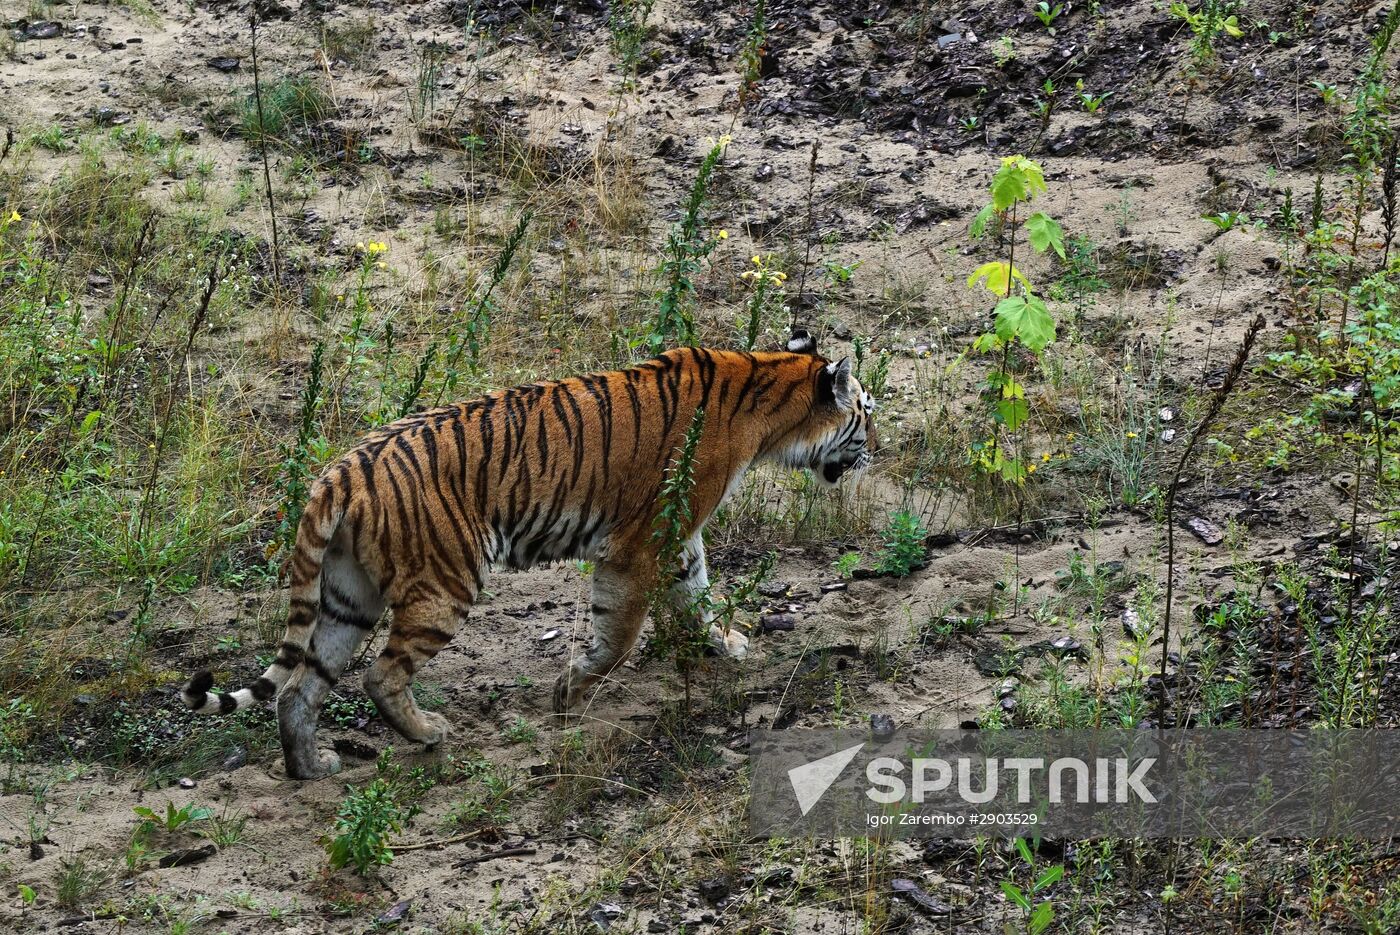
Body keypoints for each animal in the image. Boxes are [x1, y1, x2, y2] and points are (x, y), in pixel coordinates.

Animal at [177, 331, 873, 778]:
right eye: (866, 411)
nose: (877, 449)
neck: (766, 397)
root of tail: (340, 472)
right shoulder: (643, 539)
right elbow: (620, 630)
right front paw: (572, 689)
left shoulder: (676, 536)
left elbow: (696, 592)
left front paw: (724, 645)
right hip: (447, 583)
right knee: (380, 674)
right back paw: (430, 734)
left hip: (348, 596)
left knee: (300, 689)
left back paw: (310, 767)